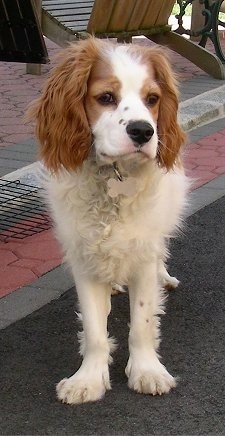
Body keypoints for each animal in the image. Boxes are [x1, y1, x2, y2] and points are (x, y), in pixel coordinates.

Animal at [29, 37, 189, 406]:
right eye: (105, 98)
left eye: (152, 99)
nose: (144, 131)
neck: (112, 179)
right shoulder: (84, 256)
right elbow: (94, 329)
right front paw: (88, 378)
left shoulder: (143, 251)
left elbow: (142, 322)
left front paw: (146, 371)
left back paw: (164, 277)